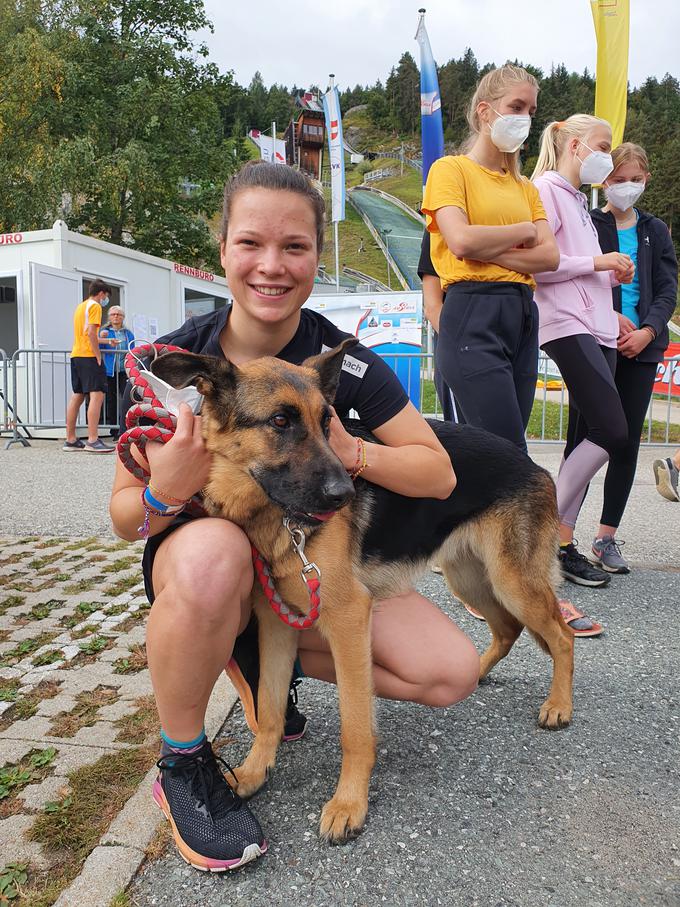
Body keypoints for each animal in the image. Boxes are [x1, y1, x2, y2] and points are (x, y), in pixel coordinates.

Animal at [153, 338, 572, 844]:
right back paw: (479, 671)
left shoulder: (350, 620)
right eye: (280, 421)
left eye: (327, 421)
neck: (274, 515)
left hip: (511, 582)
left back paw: (559, 705)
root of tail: (532, 463)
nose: (344, 495)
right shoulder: (277, 623)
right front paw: (256, 769)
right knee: (508, 630)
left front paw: (349, 803)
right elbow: (269, 707)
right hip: (471, 578)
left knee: (562, 636)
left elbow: (355, 727)